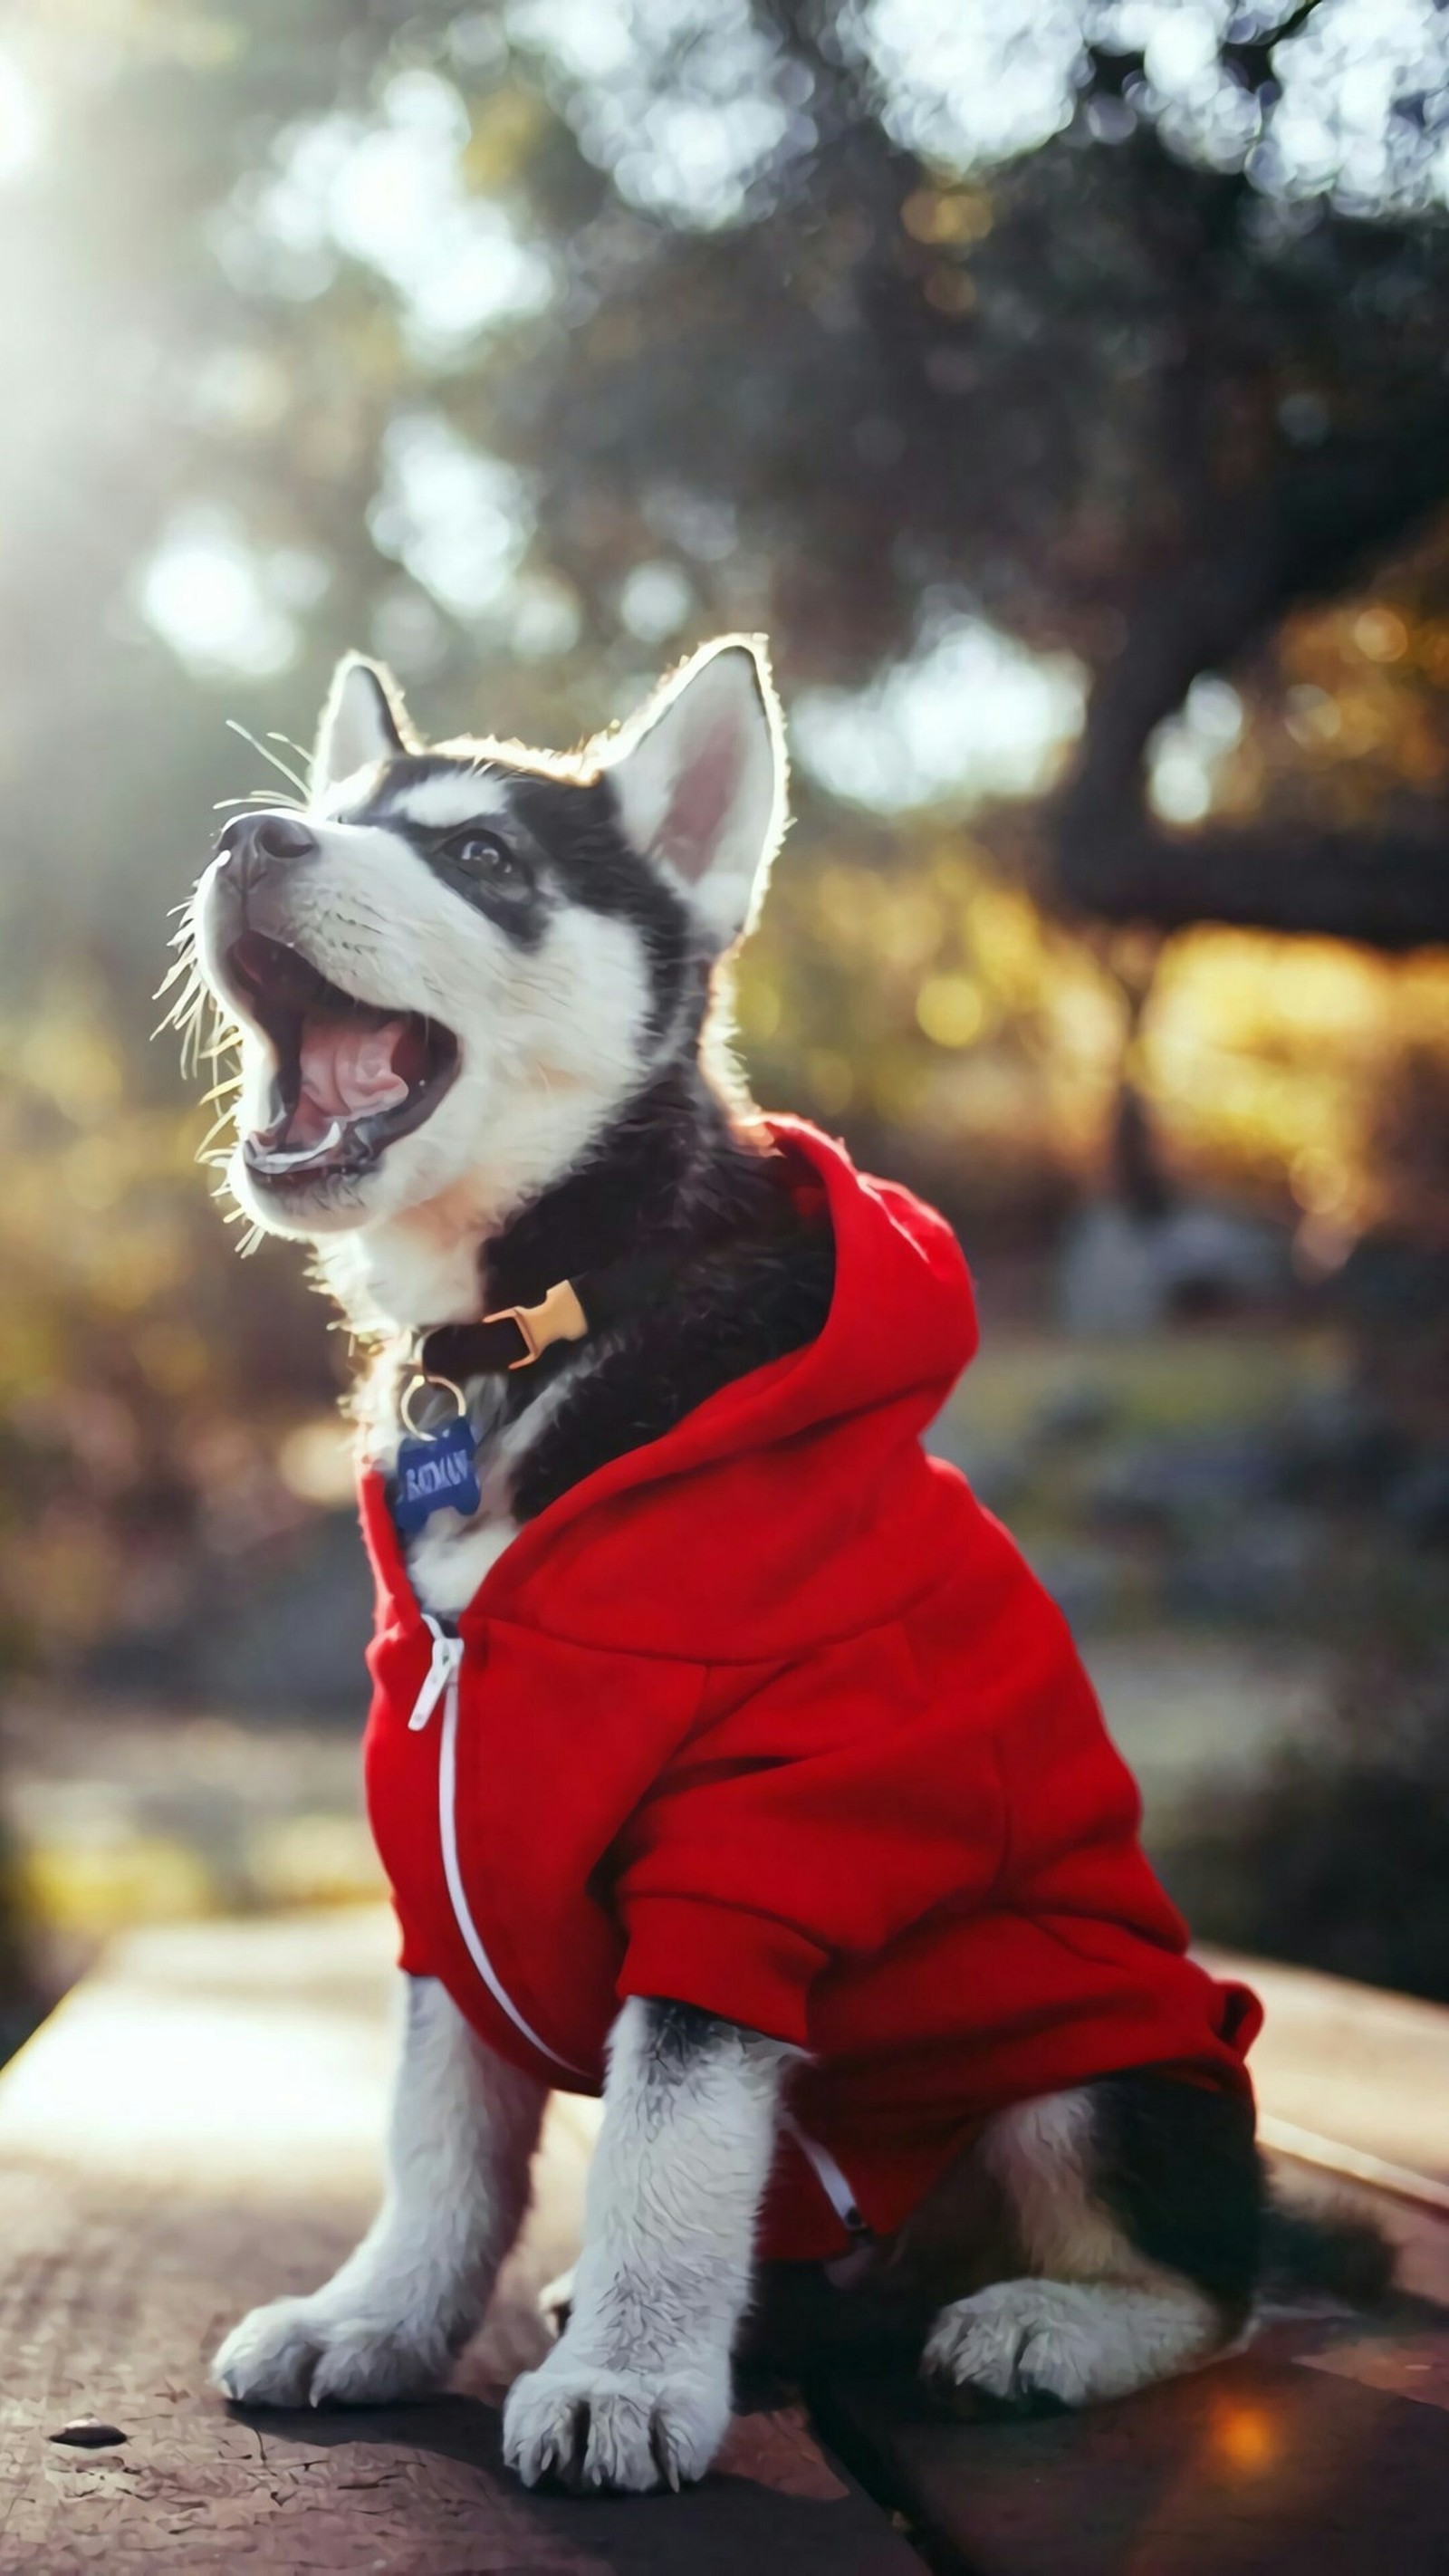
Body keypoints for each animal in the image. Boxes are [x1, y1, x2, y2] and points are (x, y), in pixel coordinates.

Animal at [176, 639, 1389, 2493]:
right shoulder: (443, 1847)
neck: (534, 1326)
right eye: (333, 813)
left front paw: (625, 2377)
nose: (249, 837)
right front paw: (378, 2314)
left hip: (1102, 2070)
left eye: (483, 859)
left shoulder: (757, 1840)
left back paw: (1049, 2320)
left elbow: (669, 2144)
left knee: (1219, 2286)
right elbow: (441, 2135)